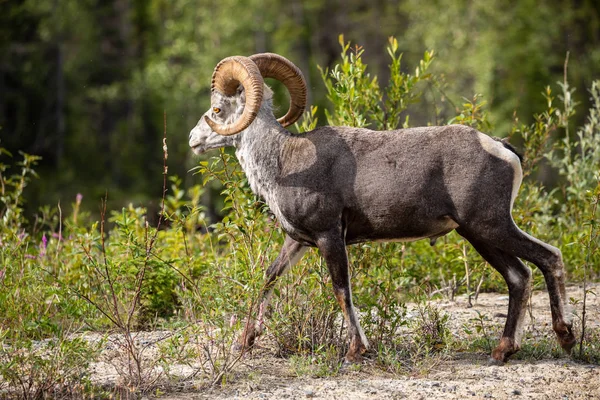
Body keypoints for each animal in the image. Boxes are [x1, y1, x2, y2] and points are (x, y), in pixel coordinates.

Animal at [189, 54, 576, 366]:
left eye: (218, 109)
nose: (194, 140)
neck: (284, 161)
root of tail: (501, 148)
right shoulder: (297, 241)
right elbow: (268, 278)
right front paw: (244, 343)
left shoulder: (330, 237)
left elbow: (341, 290)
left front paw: (354, 353)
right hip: (479, 235)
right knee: (519, 276)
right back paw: (503, 351)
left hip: (489, 226)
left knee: (549, 257)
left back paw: (567, 338)